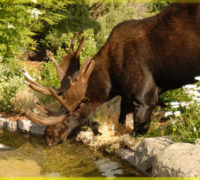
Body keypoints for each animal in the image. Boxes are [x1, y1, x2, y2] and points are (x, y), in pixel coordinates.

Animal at [24, 2, 200, 146]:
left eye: (69, 116)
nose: (47, 137)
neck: (112, 83)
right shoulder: (127, 97)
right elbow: (121, 121)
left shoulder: (145, 97)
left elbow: (137, 130)